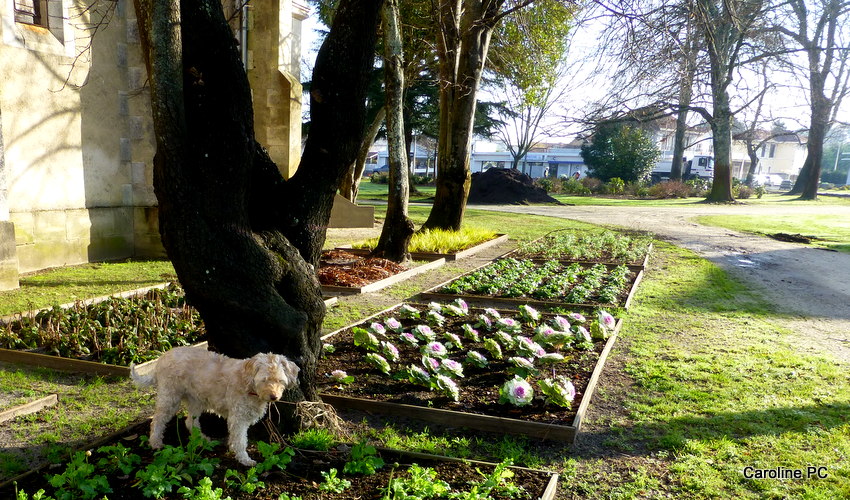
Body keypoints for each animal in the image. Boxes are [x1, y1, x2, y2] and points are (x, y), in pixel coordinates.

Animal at [131, 346, 300, 466]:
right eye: (264, 380)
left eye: (280, 380)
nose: (274, 397)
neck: (248, 383)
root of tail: (162, 358)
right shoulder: (238, 418)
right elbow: (241, 441)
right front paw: (244, 459)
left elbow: (237, 438)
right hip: (170, 398)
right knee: (157, 421)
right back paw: (155, 443)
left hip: (196, 400)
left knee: (190, 422)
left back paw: (202, 439)